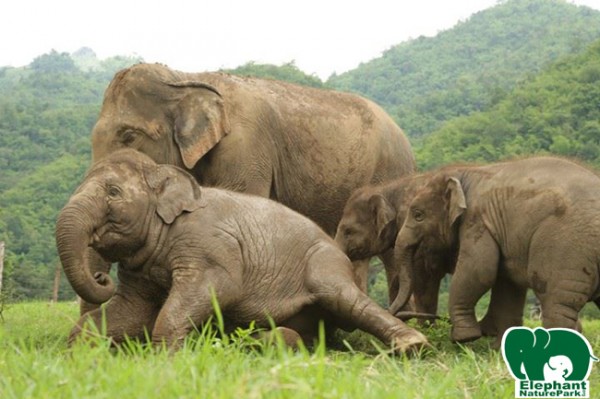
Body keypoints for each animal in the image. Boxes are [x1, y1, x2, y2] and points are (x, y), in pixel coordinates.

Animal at [55, 149, 426, 354]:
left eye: (113, 192)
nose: (101, 276)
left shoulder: (210, 246)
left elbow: (220, 288)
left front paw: (166, 361)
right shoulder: (140, 270)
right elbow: (130, 309)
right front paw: (80, 357)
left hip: (324, 264)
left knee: (346, 299)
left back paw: (413, 345)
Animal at [83, 62, 412, 314]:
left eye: (129, 136)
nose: (100, 278)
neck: (184, 78)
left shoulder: (245, 149)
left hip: (391, 171)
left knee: (392, 252)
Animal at [394, 158, 600, 346]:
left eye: (418, 215)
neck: (466, 172)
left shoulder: (477, 220)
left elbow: (479, 271)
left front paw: (464, 338)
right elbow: (507, 281)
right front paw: (496, 345)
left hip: (566, 247)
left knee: (556, 302)